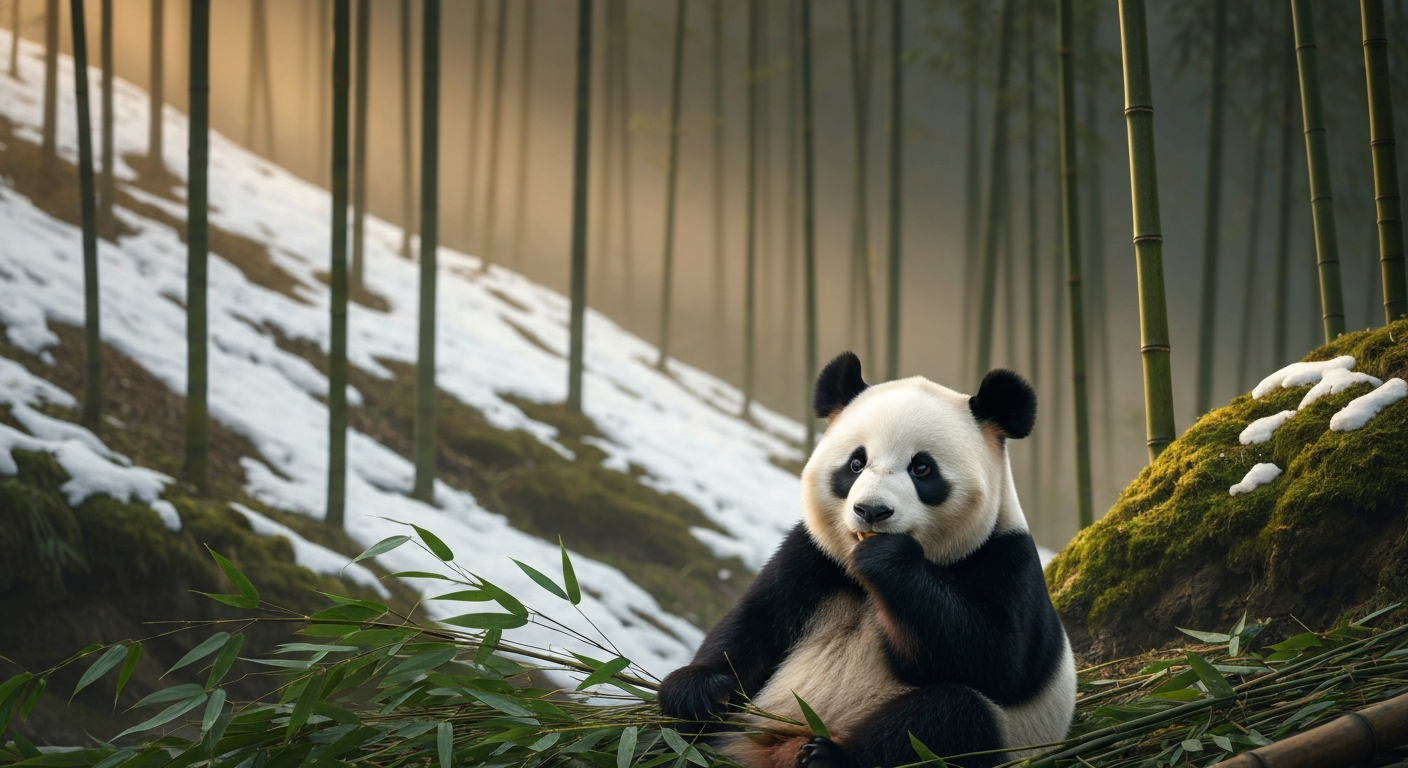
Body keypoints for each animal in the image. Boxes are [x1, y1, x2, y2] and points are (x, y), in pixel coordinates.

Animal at [658, 352, 1076, 768]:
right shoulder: (815, 555)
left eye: (921, 467)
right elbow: (757, 622)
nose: (871, 511)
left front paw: (887, 558)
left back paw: (828, 756)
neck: (866, 586)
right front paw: (698, 690)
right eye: (856, 463)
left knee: (950, 717)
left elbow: (999, 659)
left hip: (996, 736)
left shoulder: (1007, 560)